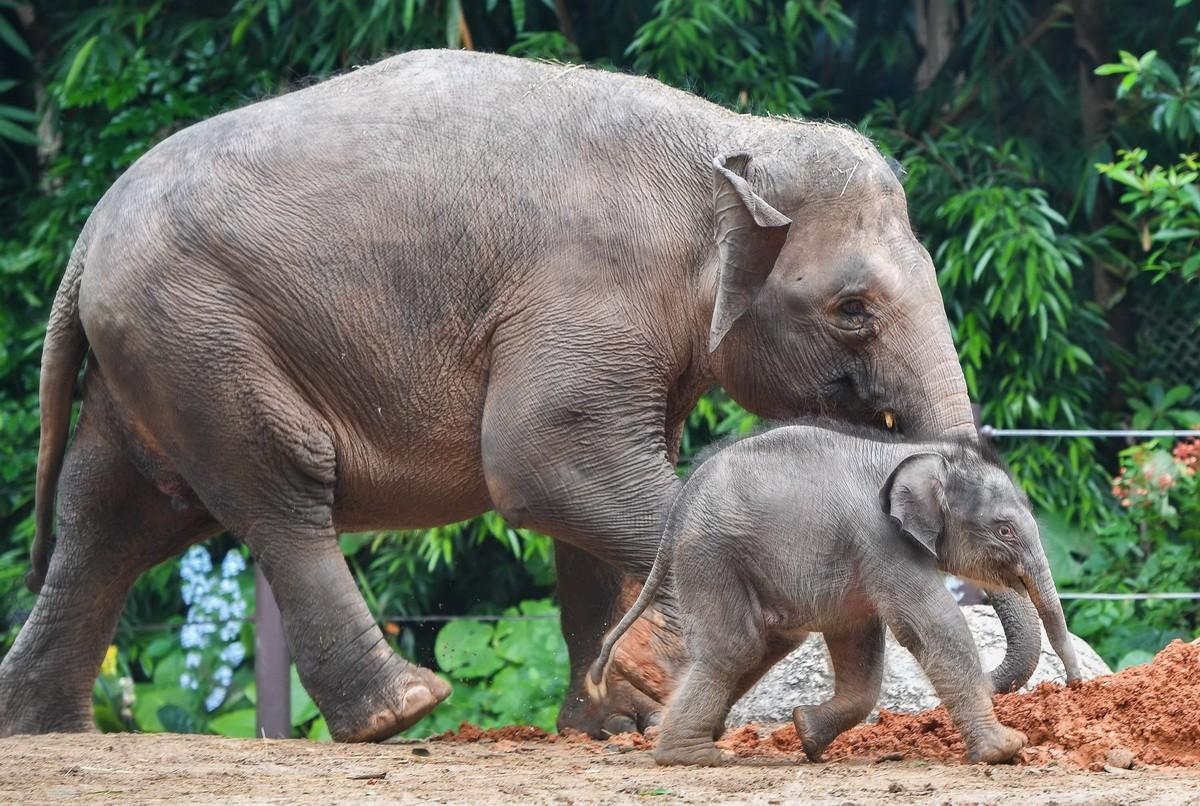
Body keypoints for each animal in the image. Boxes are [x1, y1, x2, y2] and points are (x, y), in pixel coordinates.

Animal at [0, 50, 1041, 743]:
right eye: (853, 310)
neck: (733, 139)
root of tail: (86, 234)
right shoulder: (590, 283)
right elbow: (546, 461)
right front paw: (653, 683)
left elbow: (584, 499)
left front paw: (610, 721)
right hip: (201, 334)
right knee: (277, 489)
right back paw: (402, 712)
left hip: (155, 347)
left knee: (115, 518)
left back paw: (47, 731)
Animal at [585, 422, 1084, 767]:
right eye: (1005, 530)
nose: (1076, 684)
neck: (911, 450)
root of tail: (677, 513)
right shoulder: (880, 538)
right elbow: (933, 628)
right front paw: (1006, 749)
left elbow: (859, 644)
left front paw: (806, 732)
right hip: (712, 555)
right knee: (735, 648)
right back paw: (691, 756)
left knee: (763, 645)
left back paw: (686, 737)